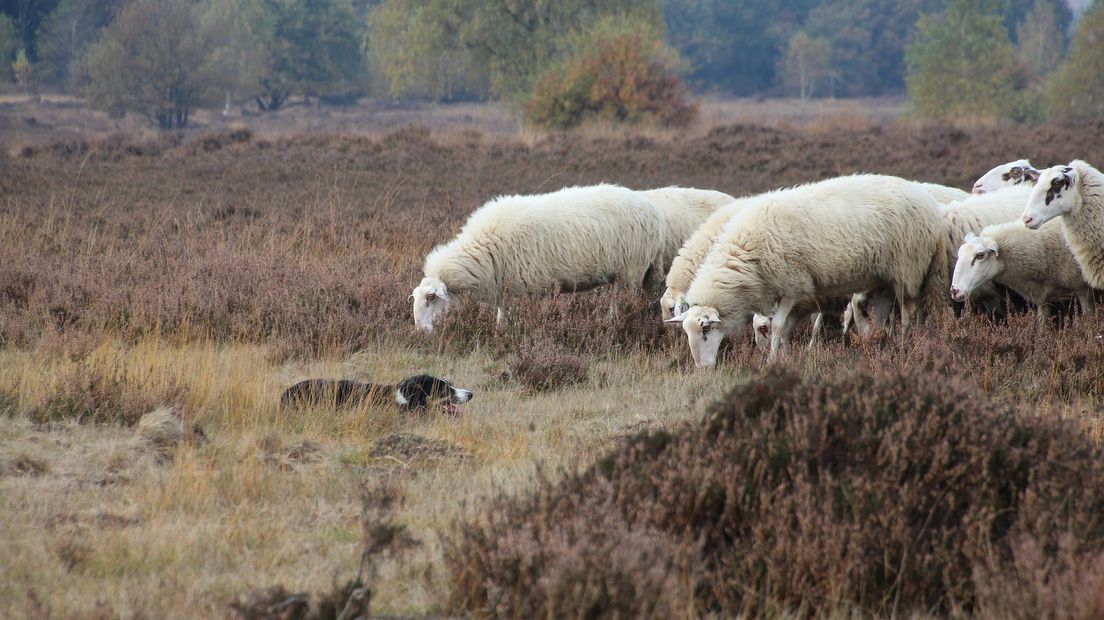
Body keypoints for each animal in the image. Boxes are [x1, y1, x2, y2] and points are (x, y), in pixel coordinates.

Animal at [412, 182, 662, 330]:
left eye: (431, 298)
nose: (420, 332)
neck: (485, 250)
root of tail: (652, 209)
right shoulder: (505, 288)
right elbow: (502, 317)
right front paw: (500, 333)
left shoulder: (538, 285)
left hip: (630, 270)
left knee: (622, 300)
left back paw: (614, 322)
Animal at [666, 172, 945, 366]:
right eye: (686, 332)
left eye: (706, 329)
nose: (702, 368)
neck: (747, 254)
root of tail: (928, 201)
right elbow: (785, 326)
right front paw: (785, 356)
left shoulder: (793, 285)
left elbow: (779, 326)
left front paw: (773, 360)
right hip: (883, 278)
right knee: (880, 315)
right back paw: (878, 346)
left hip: (908, 268)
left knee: (909, 312)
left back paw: (905, 345)